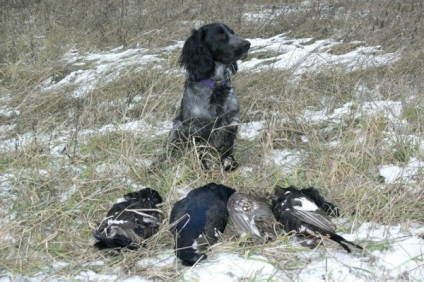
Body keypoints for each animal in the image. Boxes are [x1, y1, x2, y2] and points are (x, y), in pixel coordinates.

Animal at [161, 22, 250, 171]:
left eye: (232, 33)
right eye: (220, 35)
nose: (247, 44)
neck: (216, 86)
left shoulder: (231, 122)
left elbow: (228, 148)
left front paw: (229, 164)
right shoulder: (196, 128)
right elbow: (200, 153)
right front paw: (205, 169)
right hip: (177, 128)